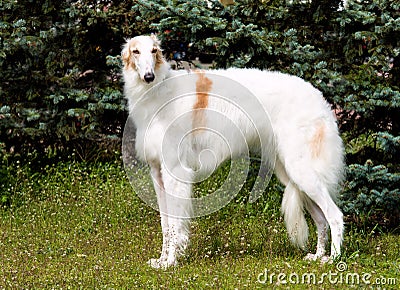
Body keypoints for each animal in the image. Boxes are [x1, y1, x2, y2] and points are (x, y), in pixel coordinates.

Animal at [121, 35, 344, 268]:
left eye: (154, 50)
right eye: (136, 51)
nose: (149, 76)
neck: (158, 92)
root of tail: (321, 100)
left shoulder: (175, 171)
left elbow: (174, 224)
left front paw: (171, 261)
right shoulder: (157, 172)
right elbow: (165, 223)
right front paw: (161, 260)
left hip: (302, 170)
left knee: (335, 215)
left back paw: (334, 259)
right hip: (292, 173)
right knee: (321, 219)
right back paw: (318, 256)